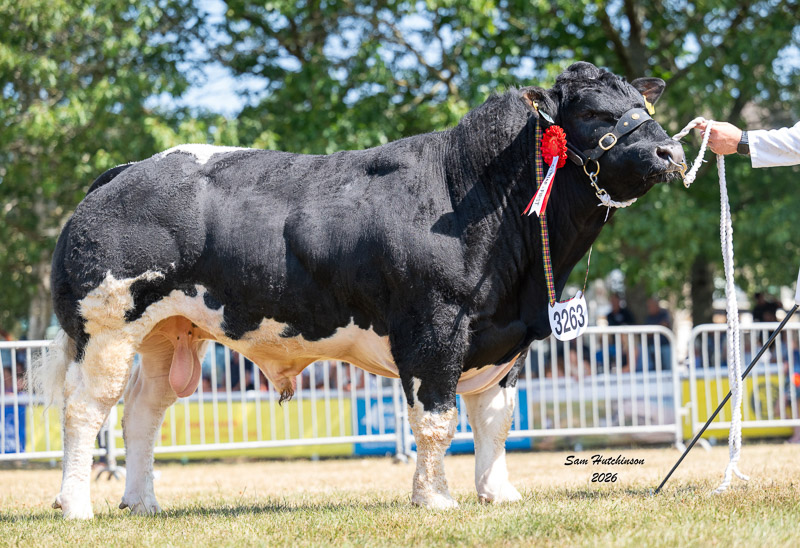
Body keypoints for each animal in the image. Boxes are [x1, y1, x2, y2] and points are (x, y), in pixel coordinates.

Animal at [31, 62, 685, 519]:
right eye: (596, 114)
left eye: (642, 104)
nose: (670, 149)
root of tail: (128, 171)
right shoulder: (433, 330)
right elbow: (437, 420)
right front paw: (435, 499)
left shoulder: (506, 340)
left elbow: (496, 421)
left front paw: (497, 494)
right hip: (104, 329)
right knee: (85, 408)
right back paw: (76, 504)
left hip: (168, 331)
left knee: (143, 410)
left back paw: (142, 502)